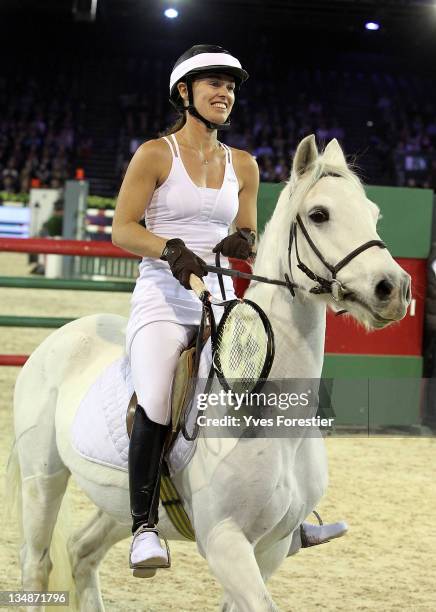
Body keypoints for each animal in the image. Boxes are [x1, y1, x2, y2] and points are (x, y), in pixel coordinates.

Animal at [5, 137, 410, 612]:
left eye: (373, 213)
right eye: (319, 214)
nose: (394, 289)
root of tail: (65, 334)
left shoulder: (270, 549)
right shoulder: (225, 542)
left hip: (118, 504)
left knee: (82, 552)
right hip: (43, 480)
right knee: (38, 562)